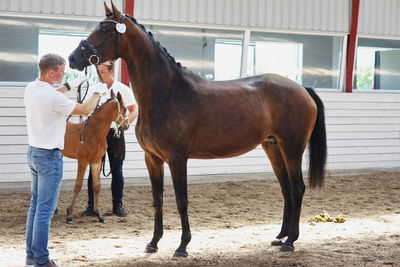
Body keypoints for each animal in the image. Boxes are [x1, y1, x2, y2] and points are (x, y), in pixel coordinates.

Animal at [62, 91, 128, 225]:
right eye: (124, 109)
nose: (127, 125)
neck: (92, 133)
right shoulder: (82, 161)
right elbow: (78, 185)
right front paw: (69, 214)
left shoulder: (96, 161)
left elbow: (96, 186)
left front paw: (99, 215)